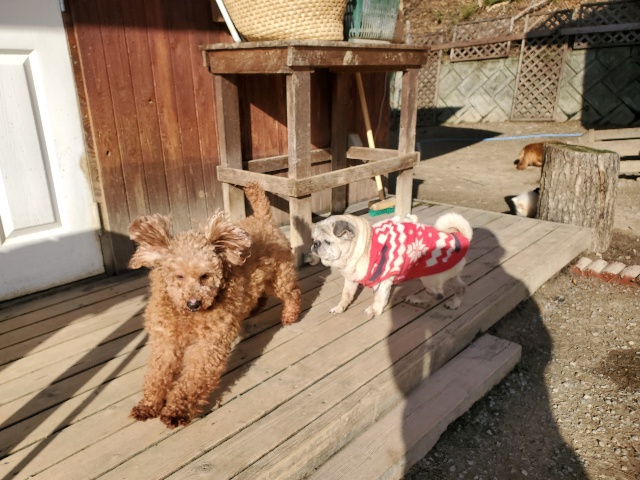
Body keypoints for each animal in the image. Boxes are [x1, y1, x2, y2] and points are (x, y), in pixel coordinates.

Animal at [128, 182, 301, 428]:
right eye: (178, 276)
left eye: (205, 276)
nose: (193, 303)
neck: (186, 316)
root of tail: (263, 218)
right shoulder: (165, 340)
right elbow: (157, 373)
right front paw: (148, 405)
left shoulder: (208, 344)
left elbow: (193, 378)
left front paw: (176, 411)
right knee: (260, 293)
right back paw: (255, 308)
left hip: (280, 276)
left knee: (292, 292)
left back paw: (290, 316)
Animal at [311, 212, 473, 318]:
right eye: (313, 239)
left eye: (327, 242)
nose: (315, 244)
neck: (364, 247)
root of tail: (460, 237)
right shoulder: (351, 279)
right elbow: (346, 295)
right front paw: (340, 308)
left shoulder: (382, 281)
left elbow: (379, 299)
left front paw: (374, 310)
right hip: (449, 275)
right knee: (460, 287)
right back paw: (455, 303)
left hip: (429, 278)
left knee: (437, 295)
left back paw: (418, 300)